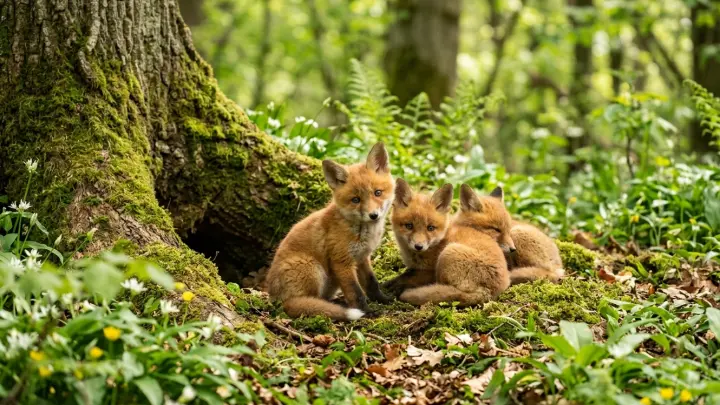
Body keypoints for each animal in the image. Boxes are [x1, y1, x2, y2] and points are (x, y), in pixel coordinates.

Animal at [265, 142, 394, 321]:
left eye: (377, 192)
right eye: (356, 200)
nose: (373, 215)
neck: (362, 232)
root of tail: (275, 298)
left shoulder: (362, 257)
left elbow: (371, 283)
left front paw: (383, 300)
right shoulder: (341, 261)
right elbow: (356, 292)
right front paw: (366, 312)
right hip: (312, 267)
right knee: (304, 303)